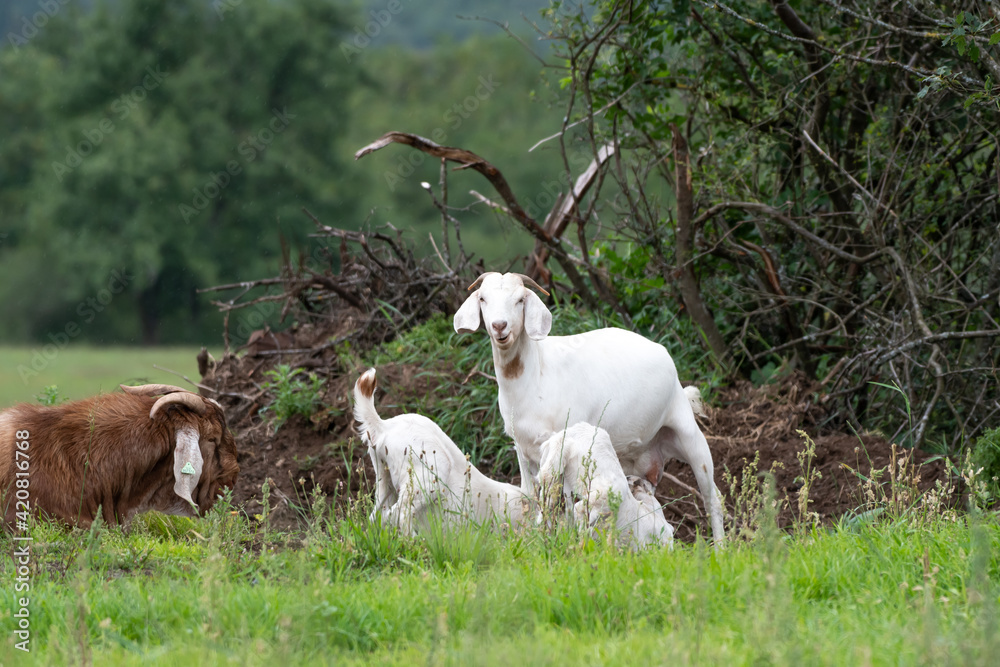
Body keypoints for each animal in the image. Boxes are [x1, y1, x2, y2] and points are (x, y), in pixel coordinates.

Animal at [537, 422, 673, 550]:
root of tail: (569, 437)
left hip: (552, 471)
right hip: (606, 492)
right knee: (580, 510)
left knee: (548, 503)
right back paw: (581, 543)